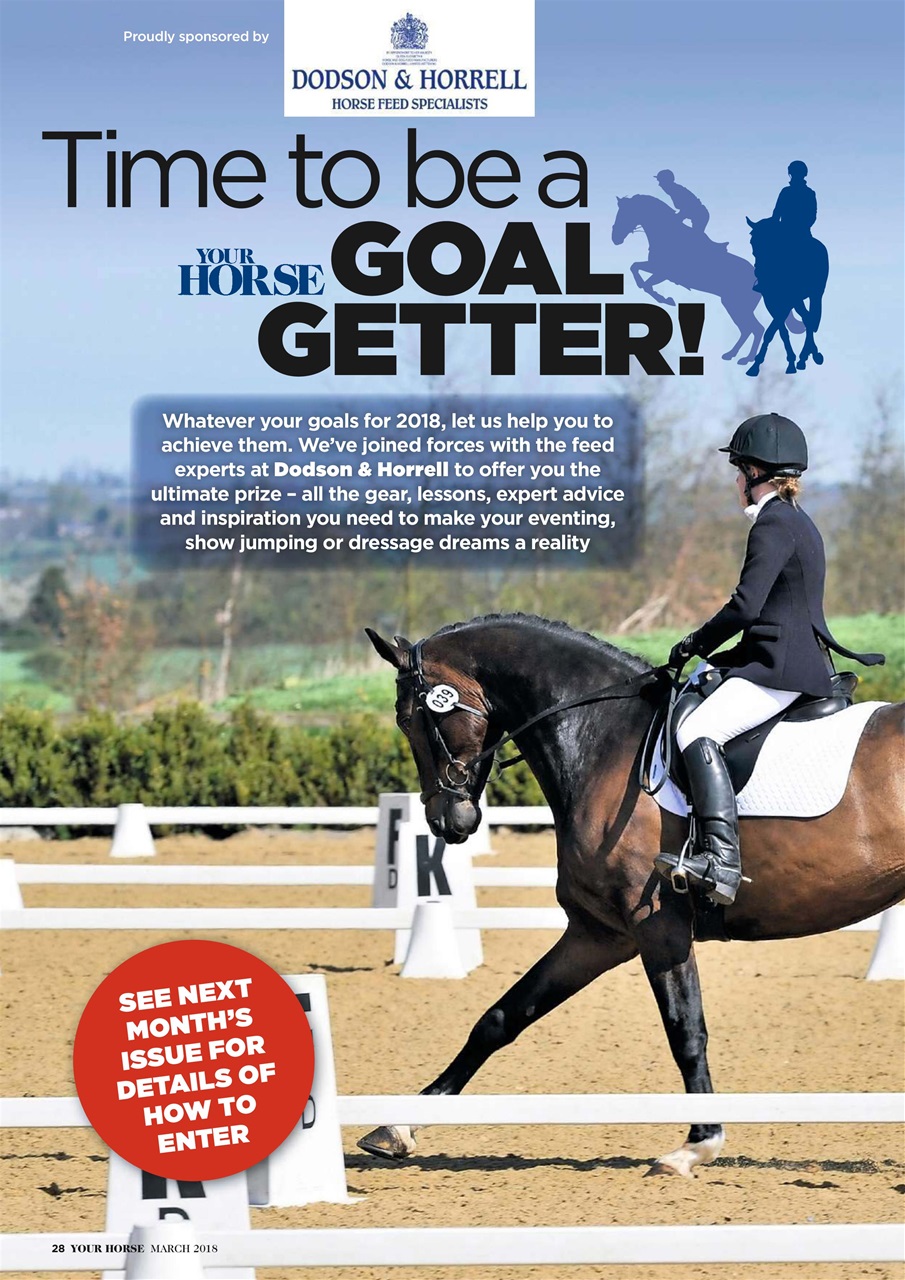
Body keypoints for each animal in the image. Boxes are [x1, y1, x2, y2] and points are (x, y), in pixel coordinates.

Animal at [362, 615, 904, 1176]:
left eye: (409, 718)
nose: (448, 822)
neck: (602, 739)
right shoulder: (599, 934)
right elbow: (500, 1019)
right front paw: (397, 1127)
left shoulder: (657, 926)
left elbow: (686, 1030)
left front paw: (696, 1144)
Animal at [611, 194, 769, 365]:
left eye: (625, 214)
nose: (615, 238)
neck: (665, 233)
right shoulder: (657, 268)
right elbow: (635, 268)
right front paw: (662, 297)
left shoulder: (663, 272)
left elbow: (645, 282)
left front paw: (665, 299)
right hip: (734, 305)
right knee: (748, 329)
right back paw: (732, 354)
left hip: (737, 305)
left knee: (755, 328)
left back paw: (747, 358)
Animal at [744, 215, 829, 377]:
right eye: (752, 241)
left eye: (770, 241)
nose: (758, 271)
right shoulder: (771, 302)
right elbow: (781, 332)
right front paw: (790, 362)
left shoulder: (788, 302)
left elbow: (771, 331)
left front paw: (755, 365)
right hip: (798, 301)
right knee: (807, 318)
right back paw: (806, 356)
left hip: (814, 295)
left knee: (810, 318)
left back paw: (808, 356)